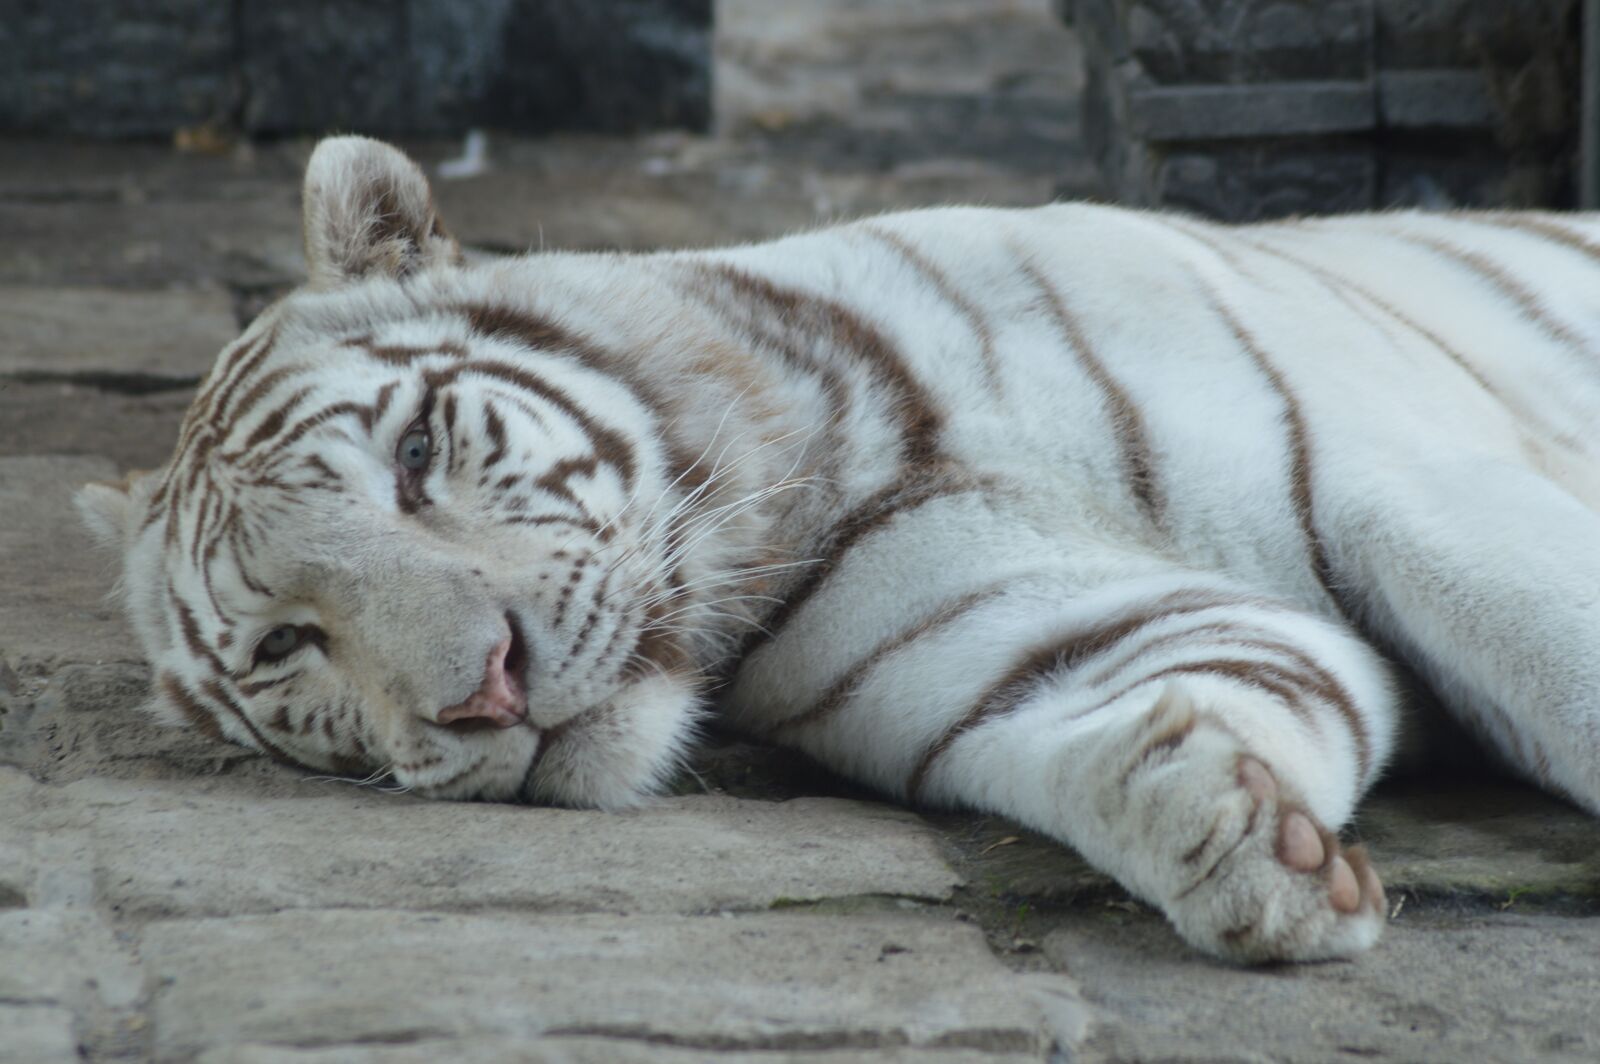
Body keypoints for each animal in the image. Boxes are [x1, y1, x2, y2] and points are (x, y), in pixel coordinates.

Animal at [75, 135, 1600, 964]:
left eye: (413, 457)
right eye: (292, 641)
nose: (484, 690)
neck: (815, 475)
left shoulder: (1405, 481)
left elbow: (1555, 653)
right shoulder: (1033, 648)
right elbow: (1127, 735)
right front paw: (1239, 840)